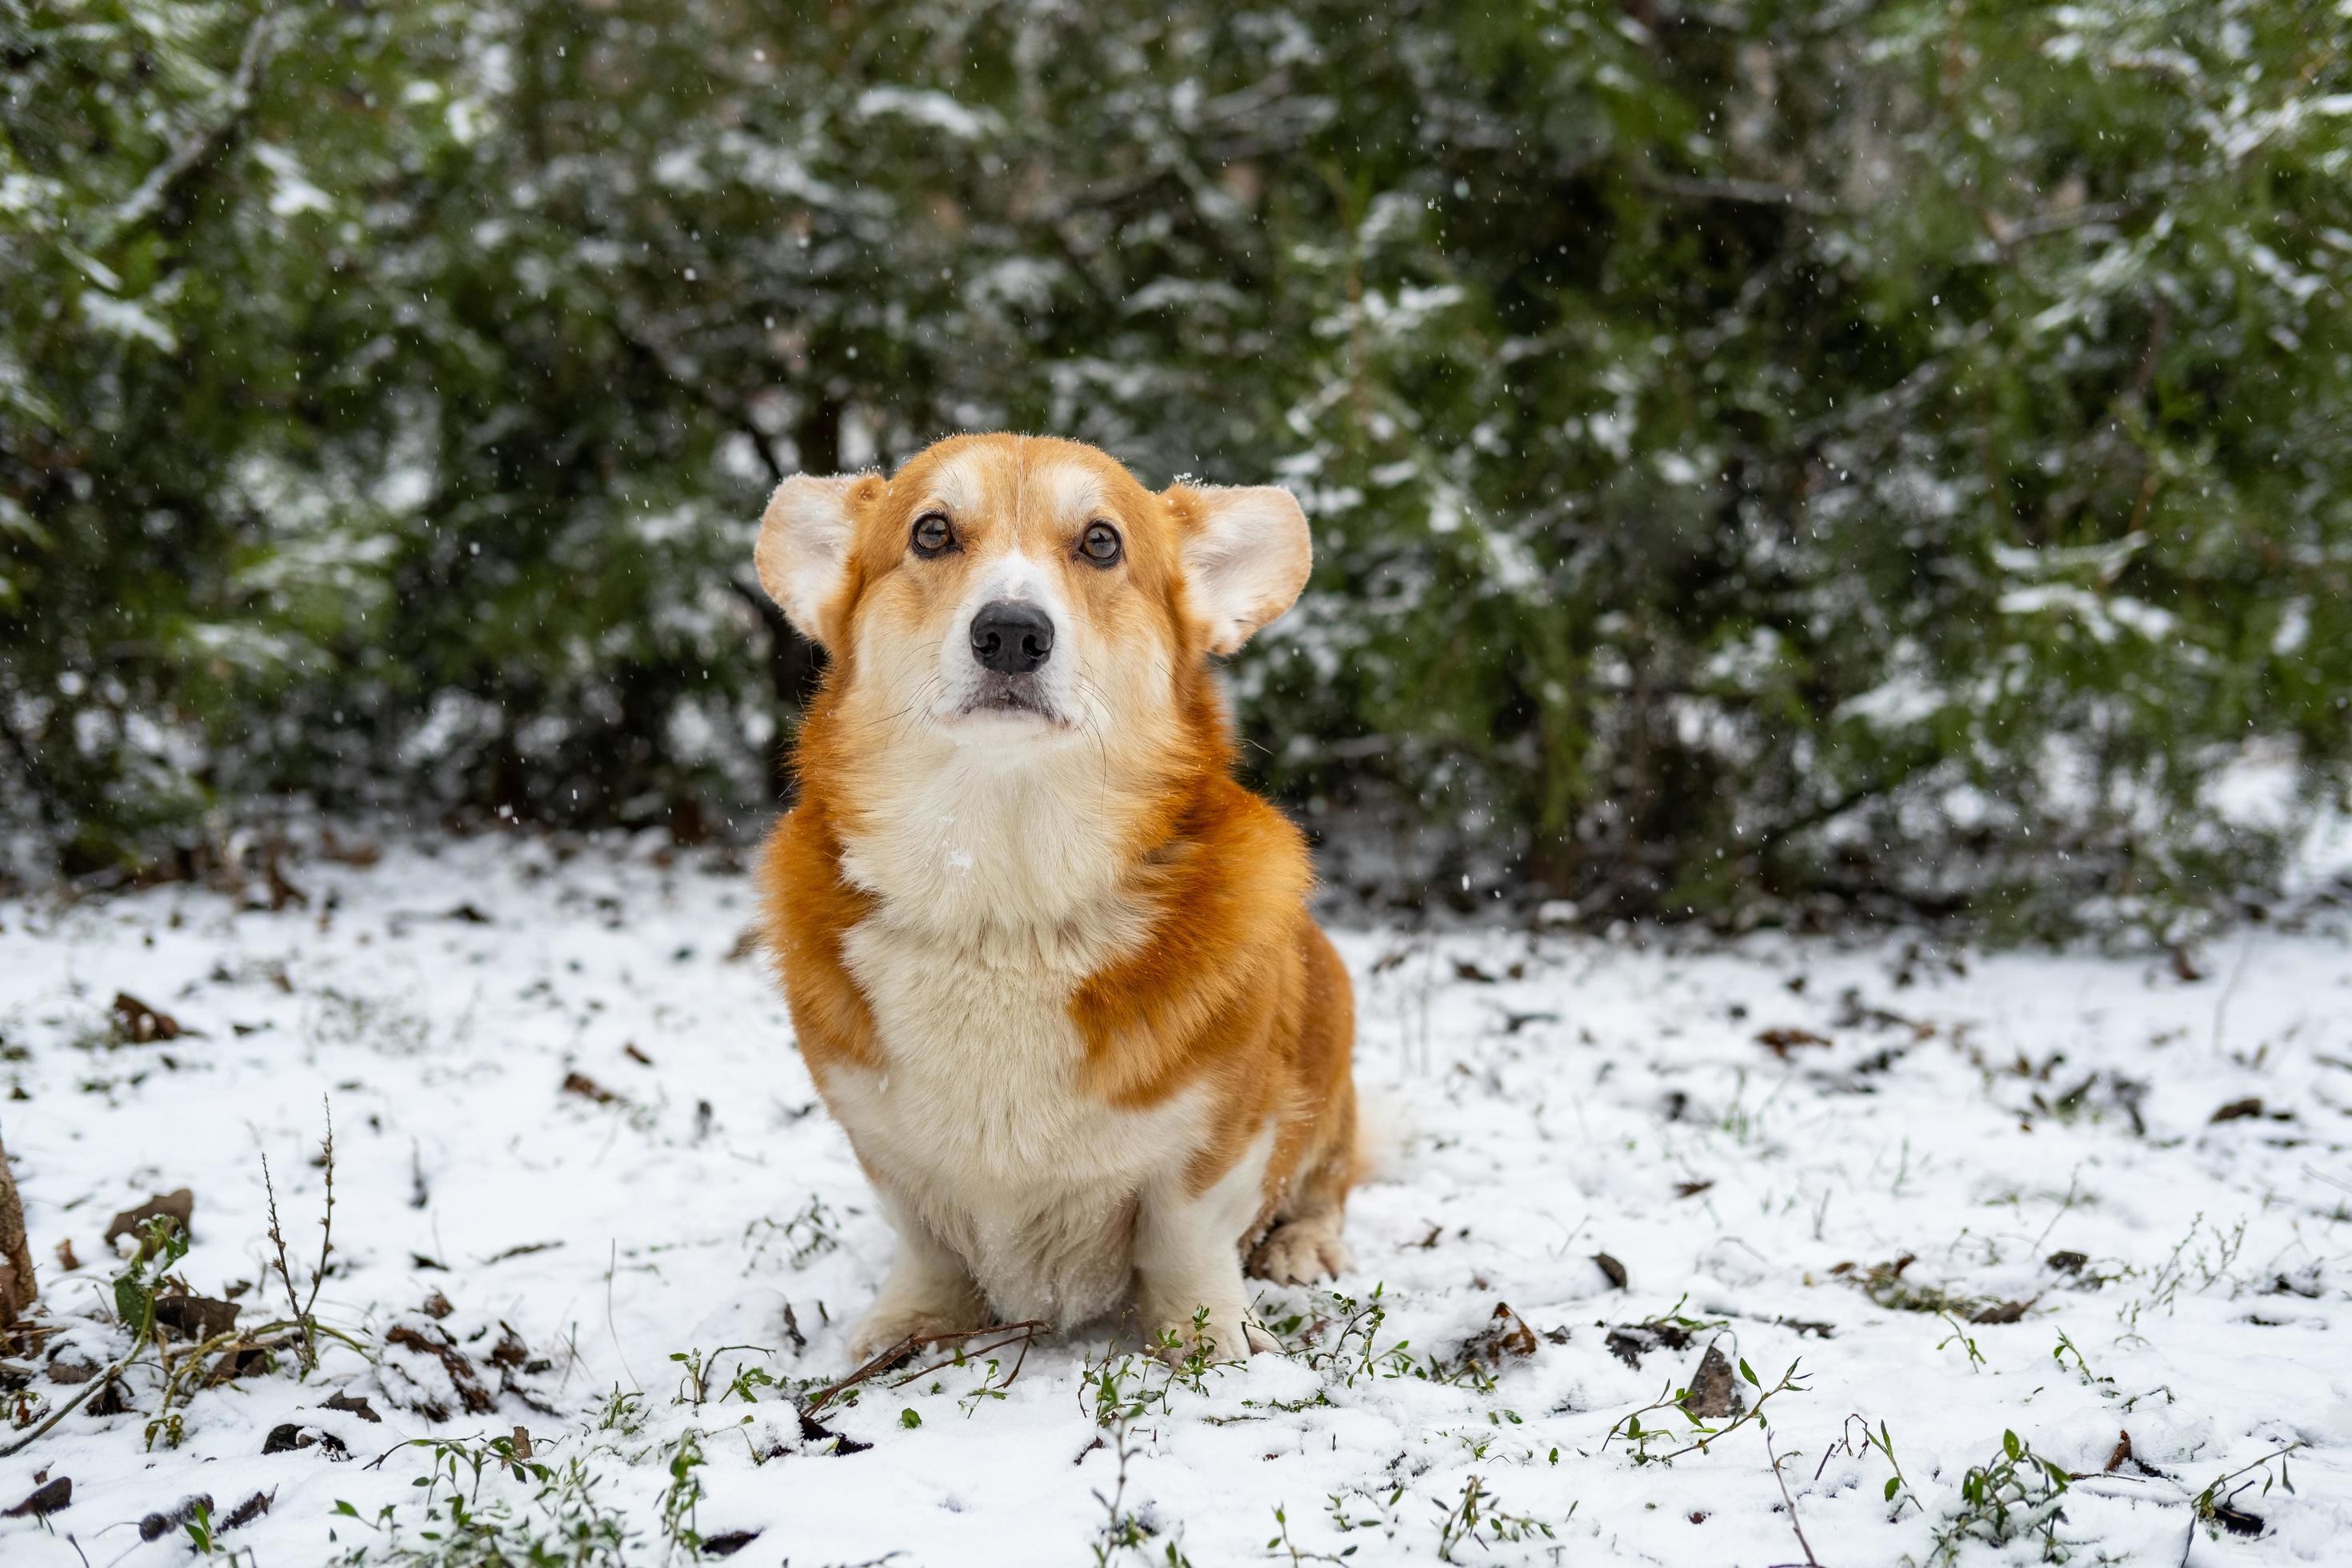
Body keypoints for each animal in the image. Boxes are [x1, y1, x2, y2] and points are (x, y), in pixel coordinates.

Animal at [752, 430, 1364, 1363]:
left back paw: (1302, 1245)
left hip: (1333, 1033)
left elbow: (1187, 1236)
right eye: (931, 532)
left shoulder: (1221, 1136)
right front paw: (909, 1324)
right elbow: (925, 1238)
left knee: (1331, 1177)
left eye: (1102, 542)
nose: (1010, 633)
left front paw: (1212, 1339)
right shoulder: (880, 1138)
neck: (1007, 906)